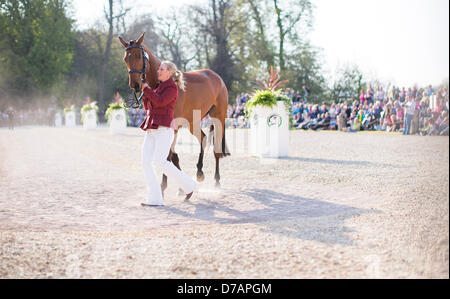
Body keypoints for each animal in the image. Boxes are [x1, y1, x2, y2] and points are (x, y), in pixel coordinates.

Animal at [118, 33, 230, 197]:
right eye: (125, 58)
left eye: (139, 55)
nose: (135, 85)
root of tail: (216, 77)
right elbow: (173, 156)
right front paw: (181, 188)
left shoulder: (172, 127)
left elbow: (168, 156)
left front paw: (163, 187)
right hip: (193, 122)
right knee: (203, 139)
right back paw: (199, 172)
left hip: (218, 117)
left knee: (216, 149)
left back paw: (216, 180)